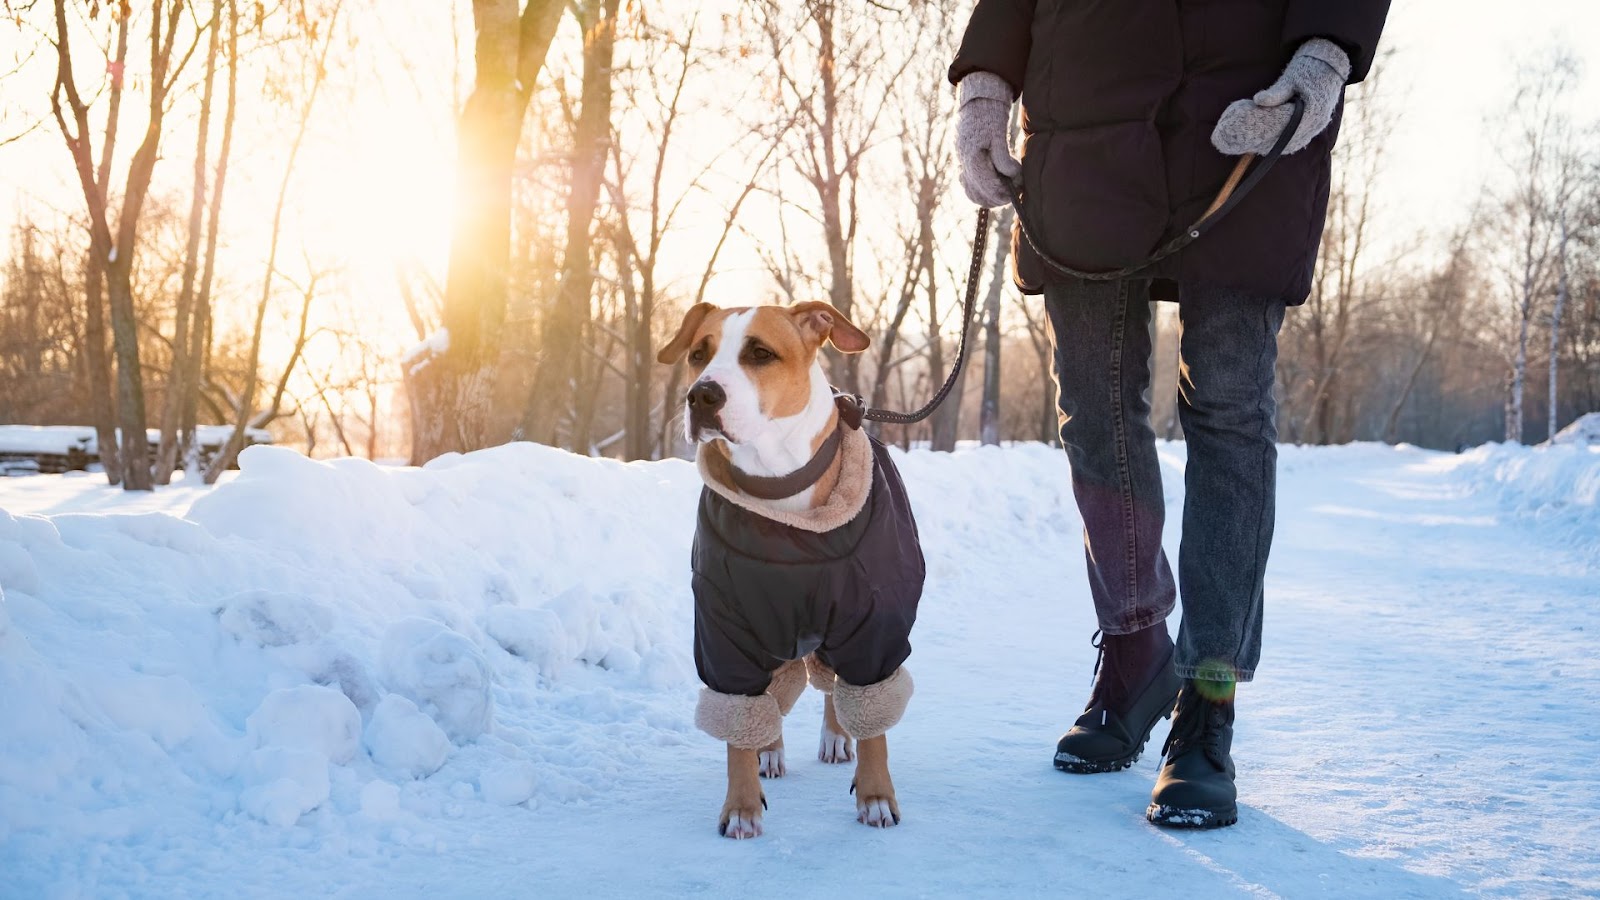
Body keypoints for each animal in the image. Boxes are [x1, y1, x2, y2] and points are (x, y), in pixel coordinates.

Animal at [652, 299, 928, 832]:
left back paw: (836, 737)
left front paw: (876, 796)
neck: (779, 490)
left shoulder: (874, 622)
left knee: (834, 688)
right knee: (772, 698)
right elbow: (738, 716)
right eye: (698, 353)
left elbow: (872, 717)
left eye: (760, 353)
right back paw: (770, 750)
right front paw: (740, 805)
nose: (701, 396)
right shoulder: (726, 624)